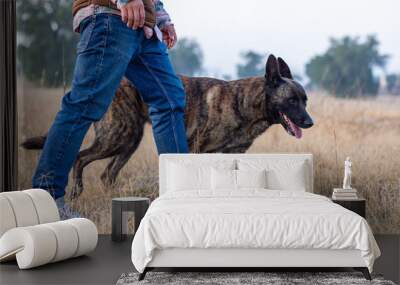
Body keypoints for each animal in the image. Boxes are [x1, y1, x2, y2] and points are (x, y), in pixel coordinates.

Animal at [21, 54, 314, 199]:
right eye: (291, 100)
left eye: (305, 100)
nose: (310, 122)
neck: (244, 103)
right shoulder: (196, 151)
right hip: (117, 136)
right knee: (80, 158)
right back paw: (75, 192)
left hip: (130, 140)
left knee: (107, 174)